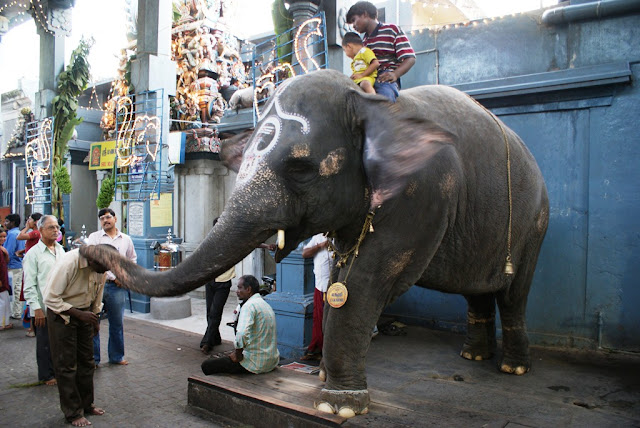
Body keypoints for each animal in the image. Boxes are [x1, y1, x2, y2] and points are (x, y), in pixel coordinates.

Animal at [81, 69, 552, 418]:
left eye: (301, 168)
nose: (88, 249)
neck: (367, 103)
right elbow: (344, 273)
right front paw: (326, 379)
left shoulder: (423, 194)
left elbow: (365, 283)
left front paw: (338, 405)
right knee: (479, 292)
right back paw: (473, 358)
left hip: (534, 223)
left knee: (514, 293)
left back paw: (512, 367)